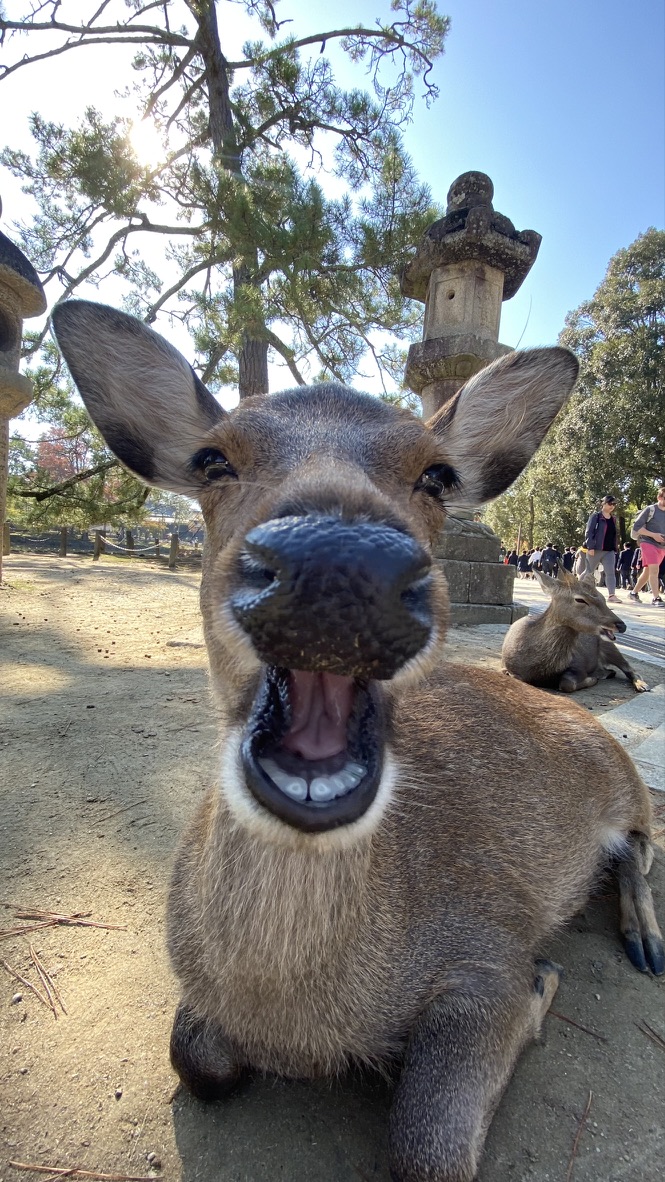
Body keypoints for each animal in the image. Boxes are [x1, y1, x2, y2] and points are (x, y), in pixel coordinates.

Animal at [502, 566, 650, 693]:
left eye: (603, 598)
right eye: (580, 599)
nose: (621, 625)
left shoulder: (578, 664)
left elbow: (567, 684)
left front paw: (592, 679)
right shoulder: (509, 668)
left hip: (609, 646)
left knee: (629, 668)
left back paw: (641, 685)